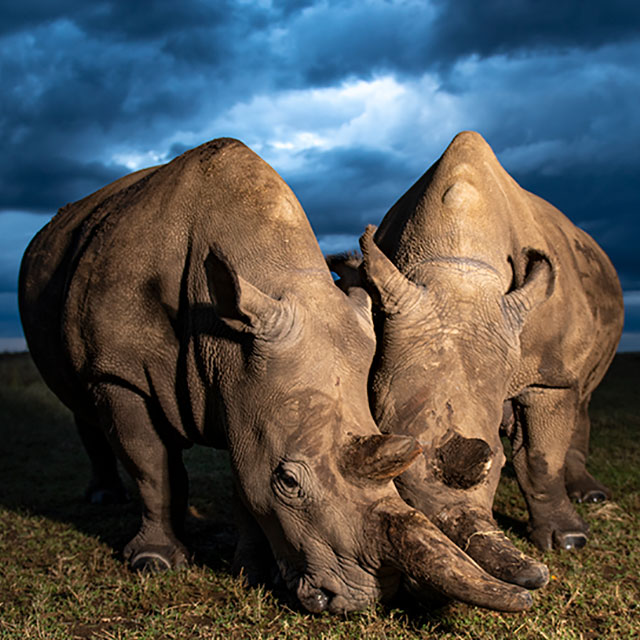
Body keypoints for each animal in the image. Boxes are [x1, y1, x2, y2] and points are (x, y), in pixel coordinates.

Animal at [18, 137, 534, 613]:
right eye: (288, 481)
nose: (354, 602)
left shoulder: (244, 383)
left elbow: (245, 480)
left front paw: (251, 570)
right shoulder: (120, 373)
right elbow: (152, 467)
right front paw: (156, 563)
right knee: (84, 405)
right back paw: (106, 499)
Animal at [329, 131, 624, 590]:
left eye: (495, 465)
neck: (459, 266)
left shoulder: (546, 376)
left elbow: (541, 456)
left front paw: (568, 541)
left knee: (583, 393)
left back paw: (589, 497)